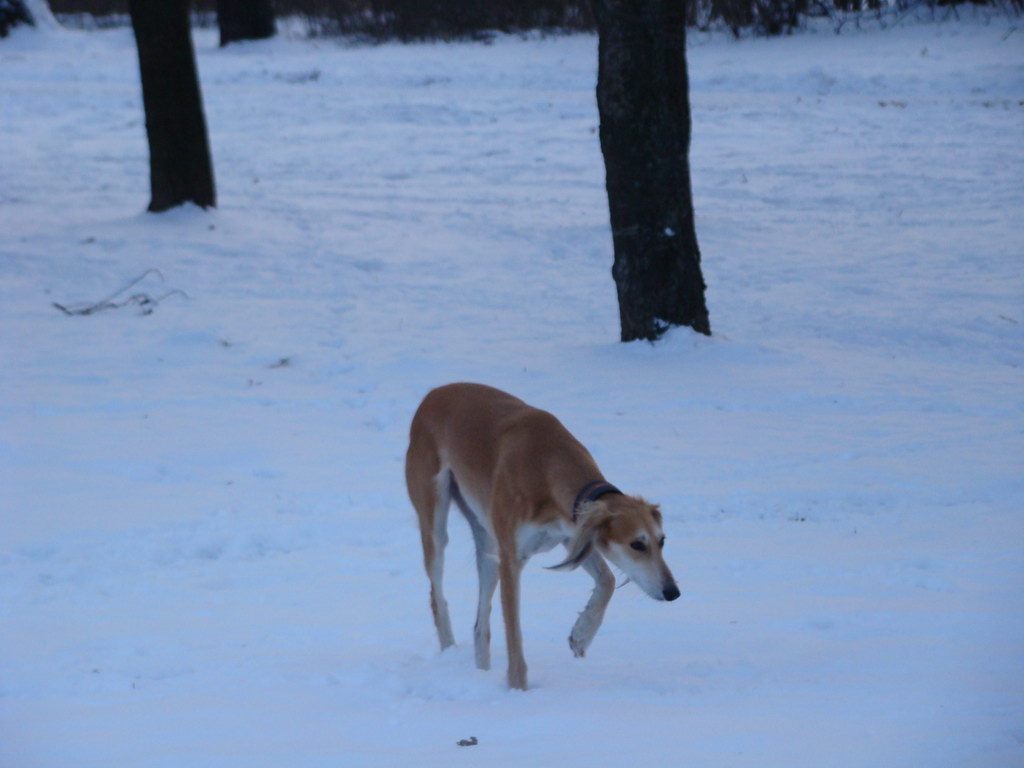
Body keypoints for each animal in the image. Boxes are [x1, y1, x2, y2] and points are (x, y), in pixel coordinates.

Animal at [401, 385, 679, 692]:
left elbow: (607, 580)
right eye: (637, 544)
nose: (673, 592)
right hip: (436, 522)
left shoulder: (572, 535)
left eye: (662, 540)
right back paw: (449, 651)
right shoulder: (512, 558)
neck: (549, 464)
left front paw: (581, 634)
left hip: (487, 542)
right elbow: (514, 637)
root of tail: (433, 393)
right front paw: (518, 689)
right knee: (437, 596)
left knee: (480, 626)